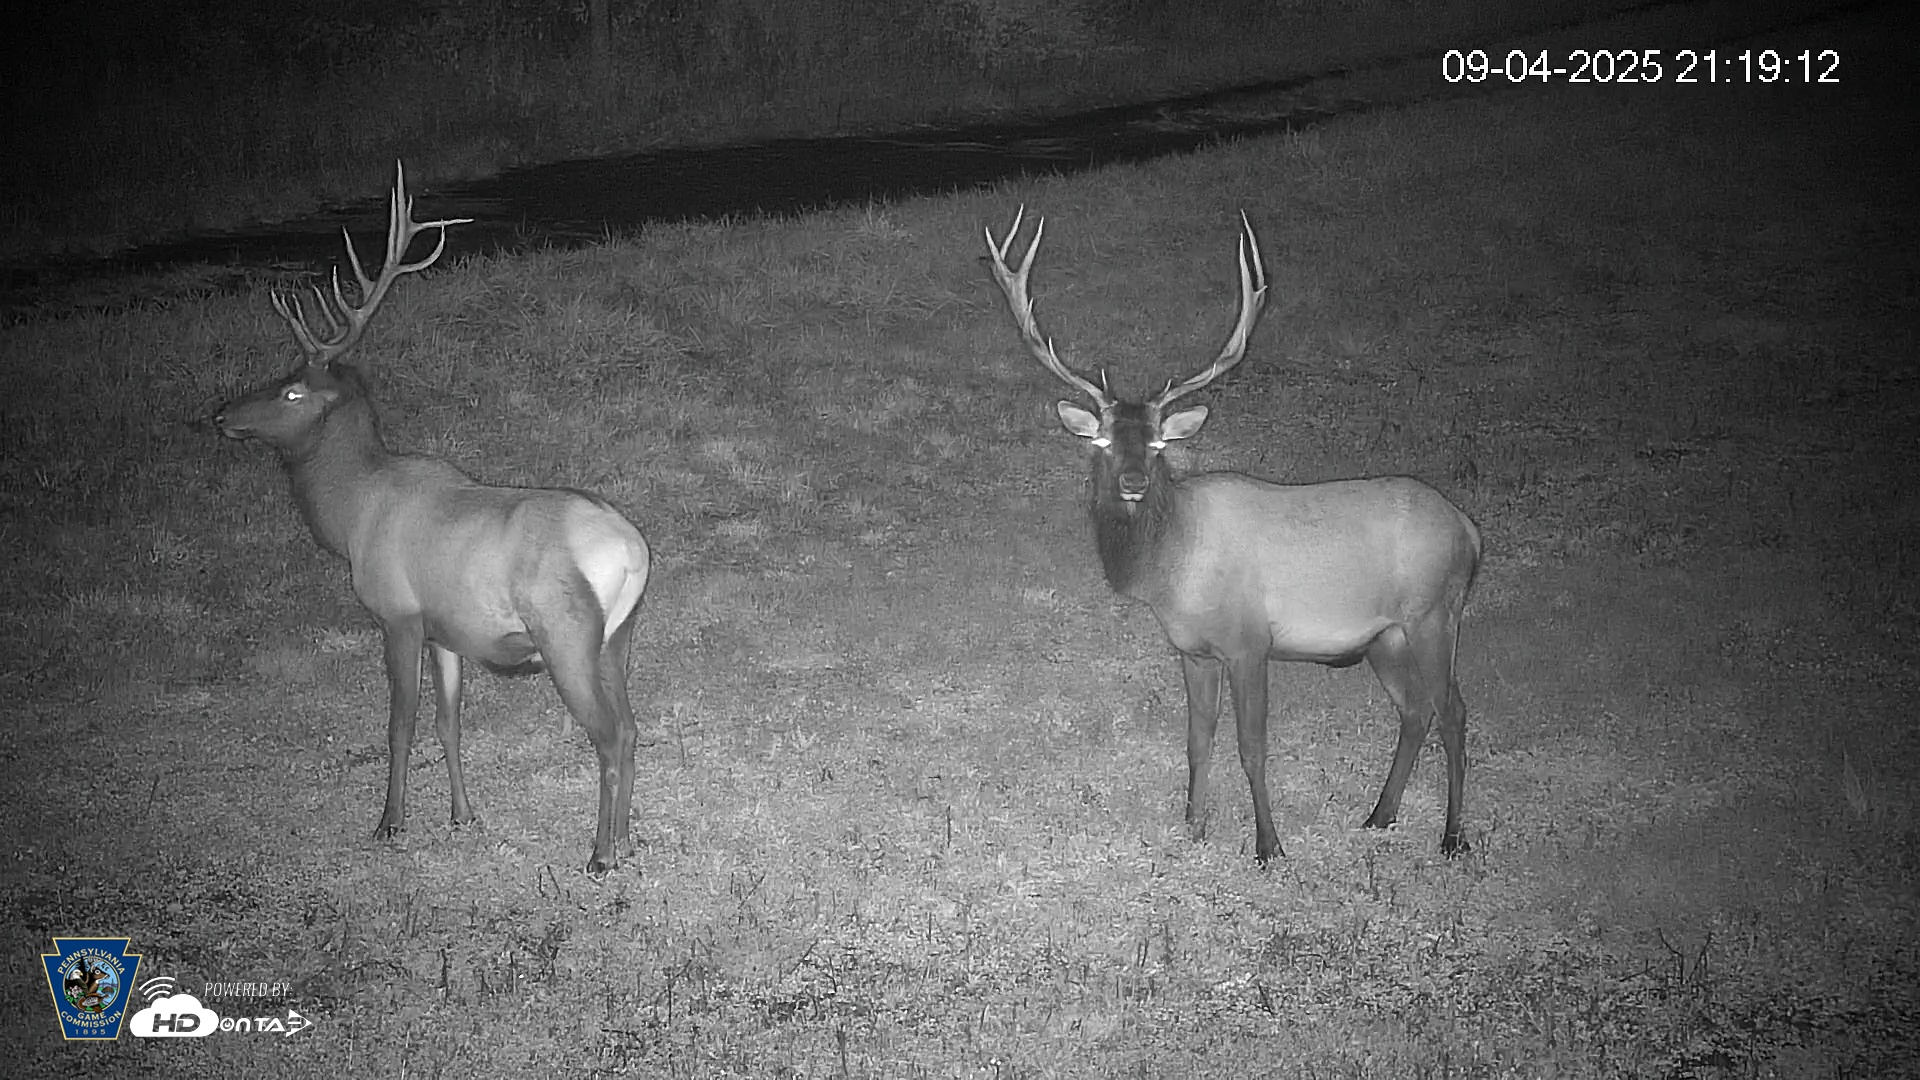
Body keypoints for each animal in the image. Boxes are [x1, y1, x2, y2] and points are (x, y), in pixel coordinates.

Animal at [214, 163, 651, 874]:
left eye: (292, 391)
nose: (221, 414)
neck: (351, 516)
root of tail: (634, 551)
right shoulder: (447, 628)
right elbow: (449, 720)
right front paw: (461, 814)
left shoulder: (397, 613)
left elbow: (401, 723)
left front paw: (390, 822)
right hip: (619, 635)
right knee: (634, 726)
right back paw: (627, 841)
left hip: (567, 633)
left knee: (610, 735)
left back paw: (601, 854)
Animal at [984, 208, 1481, 862]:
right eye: (1103, 440)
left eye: (1158, 443)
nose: (1134, 481)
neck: (1173, 569)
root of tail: (1470, 531)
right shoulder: (1193, 649)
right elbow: (1198, 739)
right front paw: (1193, 827)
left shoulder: (1250, 643)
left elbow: (1252, 747)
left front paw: (1269, 847)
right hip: (1386, 636)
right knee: (1416, 710)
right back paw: (1380, 815)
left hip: (1434, 614)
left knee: (1454, 712)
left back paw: (1451, 836)